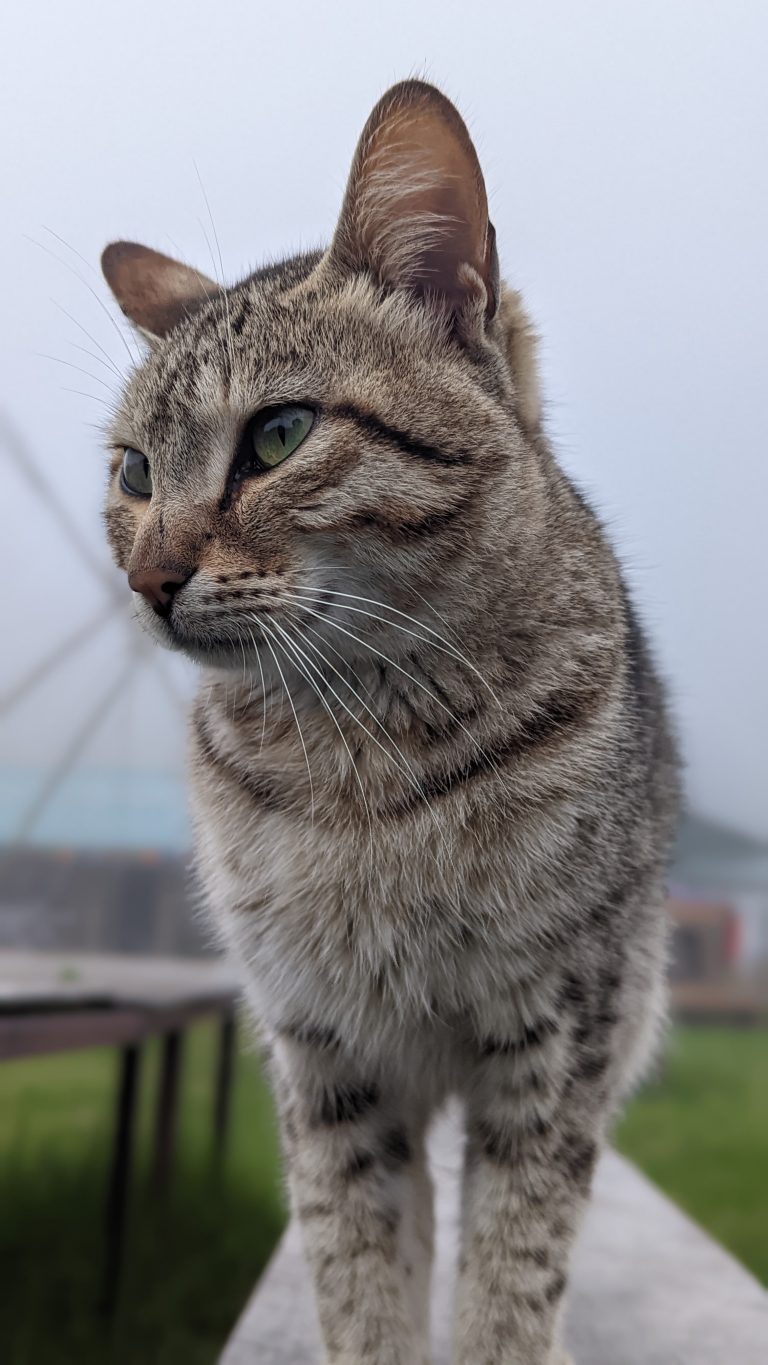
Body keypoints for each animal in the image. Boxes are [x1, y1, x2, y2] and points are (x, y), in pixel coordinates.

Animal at [100, 79, 679, 1359]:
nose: (148, 579)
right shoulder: (324, 1061)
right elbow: (358, 1278)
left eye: (277, 435)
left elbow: (513, 1281)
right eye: (132, 475)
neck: (356, 755)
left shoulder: (555, 1048)